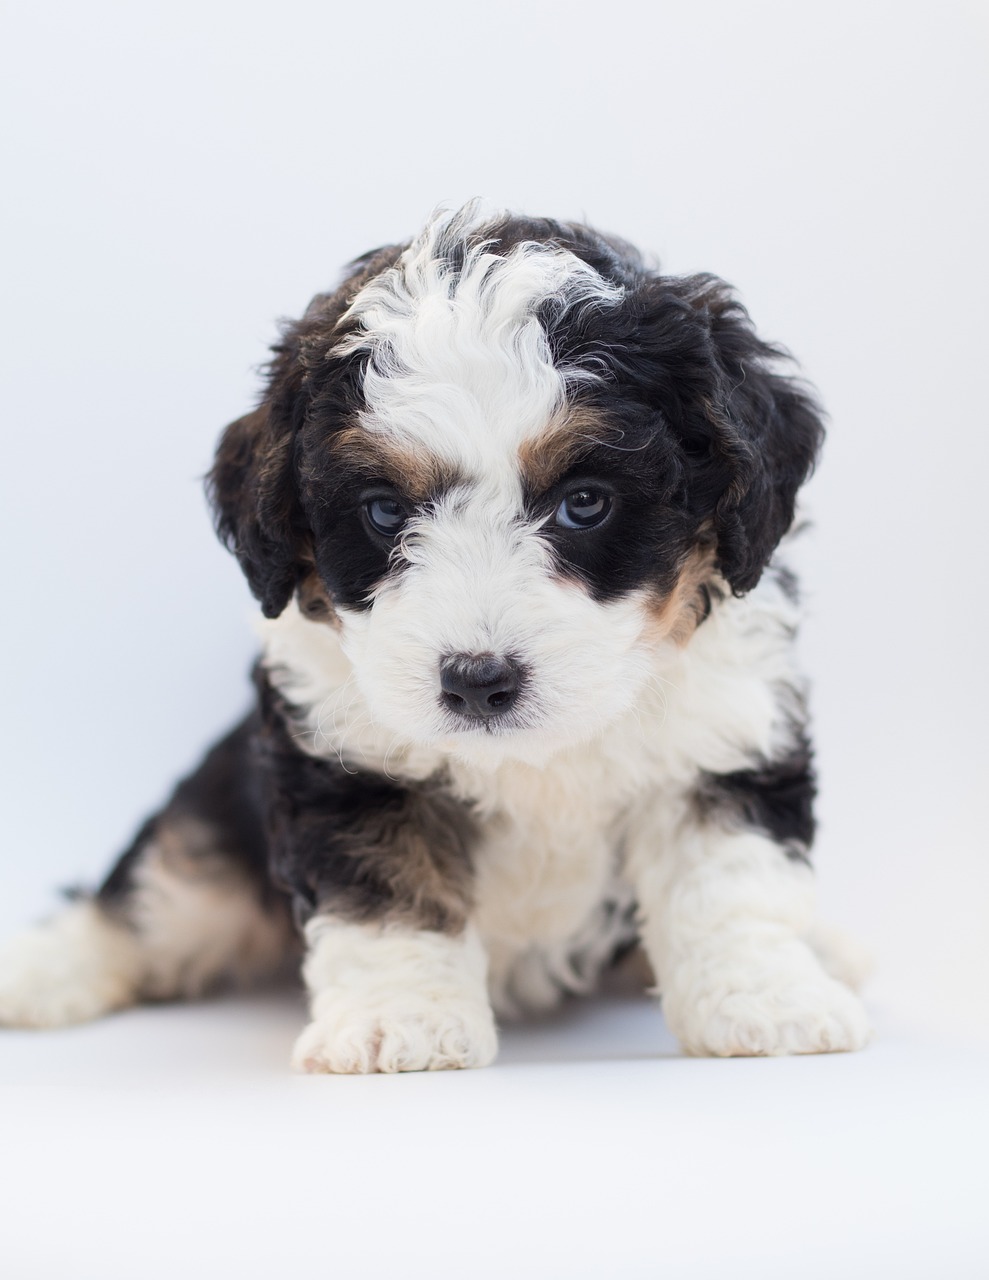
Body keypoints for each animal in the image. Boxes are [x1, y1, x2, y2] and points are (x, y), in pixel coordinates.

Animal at [0, 207, 870, 1070]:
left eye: (585, 502)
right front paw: (401, 1020)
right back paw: (41, 970)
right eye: (385, 511)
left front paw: (764, 1001)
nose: (477, 682)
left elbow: (728, 878)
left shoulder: (721, 733)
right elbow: (388, 889)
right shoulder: (345, 758)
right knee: (158, 894)